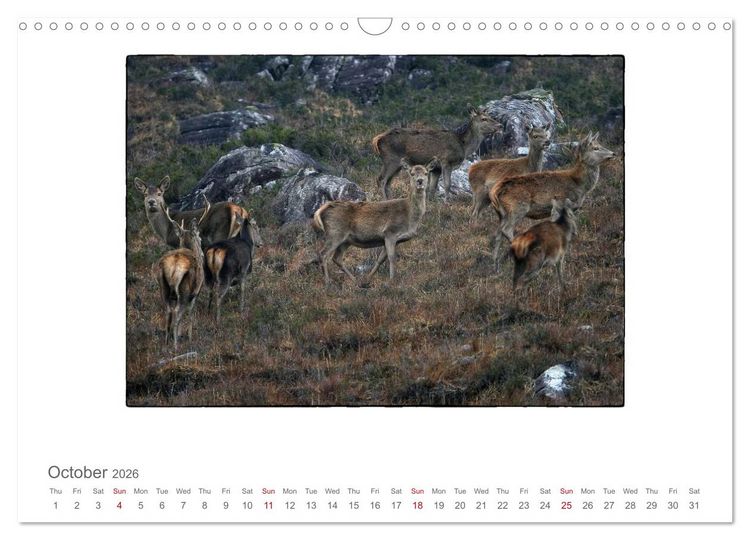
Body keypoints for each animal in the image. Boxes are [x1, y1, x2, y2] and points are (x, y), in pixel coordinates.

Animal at [153, 202, 210, 350]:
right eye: (199, 238)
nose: (203, 254)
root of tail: (174, 266)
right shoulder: (196, 292)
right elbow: (191, 314)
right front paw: (190, 337)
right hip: (185, 290)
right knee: (178, 313)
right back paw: (176, 346)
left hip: (163, 287)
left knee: (168, 312)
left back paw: (166, 343)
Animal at [371, 105, 501, 200]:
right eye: (484, 119)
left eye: (490, 116)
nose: (499, 125)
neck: (463, 145)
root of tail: (377, 139)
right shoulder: (446, 161)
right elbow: (447, 184)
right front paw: (447, 202)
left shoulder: (436, 168)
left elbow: (432, 187)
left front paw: (431, 203)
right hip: (390, 159)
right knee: (381, 180)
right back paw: (384, 200)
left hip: (397, 164)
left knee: (388, 183)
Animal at [489, 132, 615, 271]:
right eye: (596, 148)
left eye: (600, 144)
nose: (613, 153)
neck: (578, 184)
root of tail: (495, 191)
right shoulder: (559, 202)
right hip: (518, 208)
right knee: (506, 230)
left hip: (502, 213)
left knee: (498, 233)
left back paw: (496, 266)